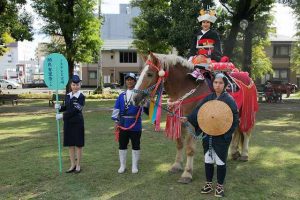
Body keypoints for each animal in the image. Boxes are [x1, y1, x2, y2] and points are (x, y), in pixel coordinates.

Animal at [133, 52, 258, 184]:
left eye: (149, 74)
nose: (134, 98)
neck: (186, 87)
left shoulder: (192, 124)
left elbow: (189, 149)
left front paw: (187, 173)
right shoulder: (179, 120)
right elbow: (179, 144)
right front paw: (176, 165)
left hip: (246, 112)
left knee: (246, 132)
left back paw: (244, 154)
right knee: (237, 131)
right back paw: (234, 152)